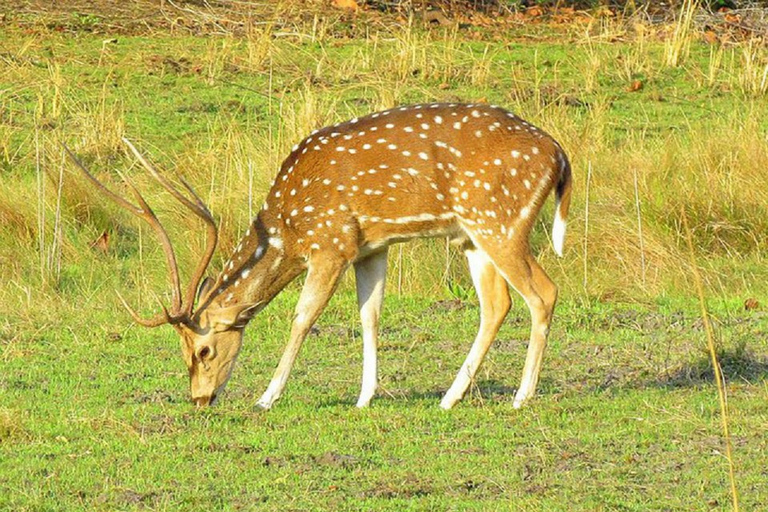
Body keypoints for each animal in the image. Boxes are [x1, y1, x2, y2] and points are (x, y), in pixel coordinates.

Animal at [67, 102, 568, 410]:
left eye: (204, 350)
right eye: (184, 351)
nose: (199, 399)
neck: (289, 224)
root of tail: (560, 157)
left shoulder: (331, 243)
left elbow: (303, 317)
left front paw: (266, 397)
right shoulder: (371, 247)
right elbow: (370, 314)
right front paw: (364, 396)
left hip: (499, 222)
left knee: (543, 292)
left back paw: (521, 396)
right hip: (471, 237)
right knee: (497, 304)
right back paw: (450, 397)